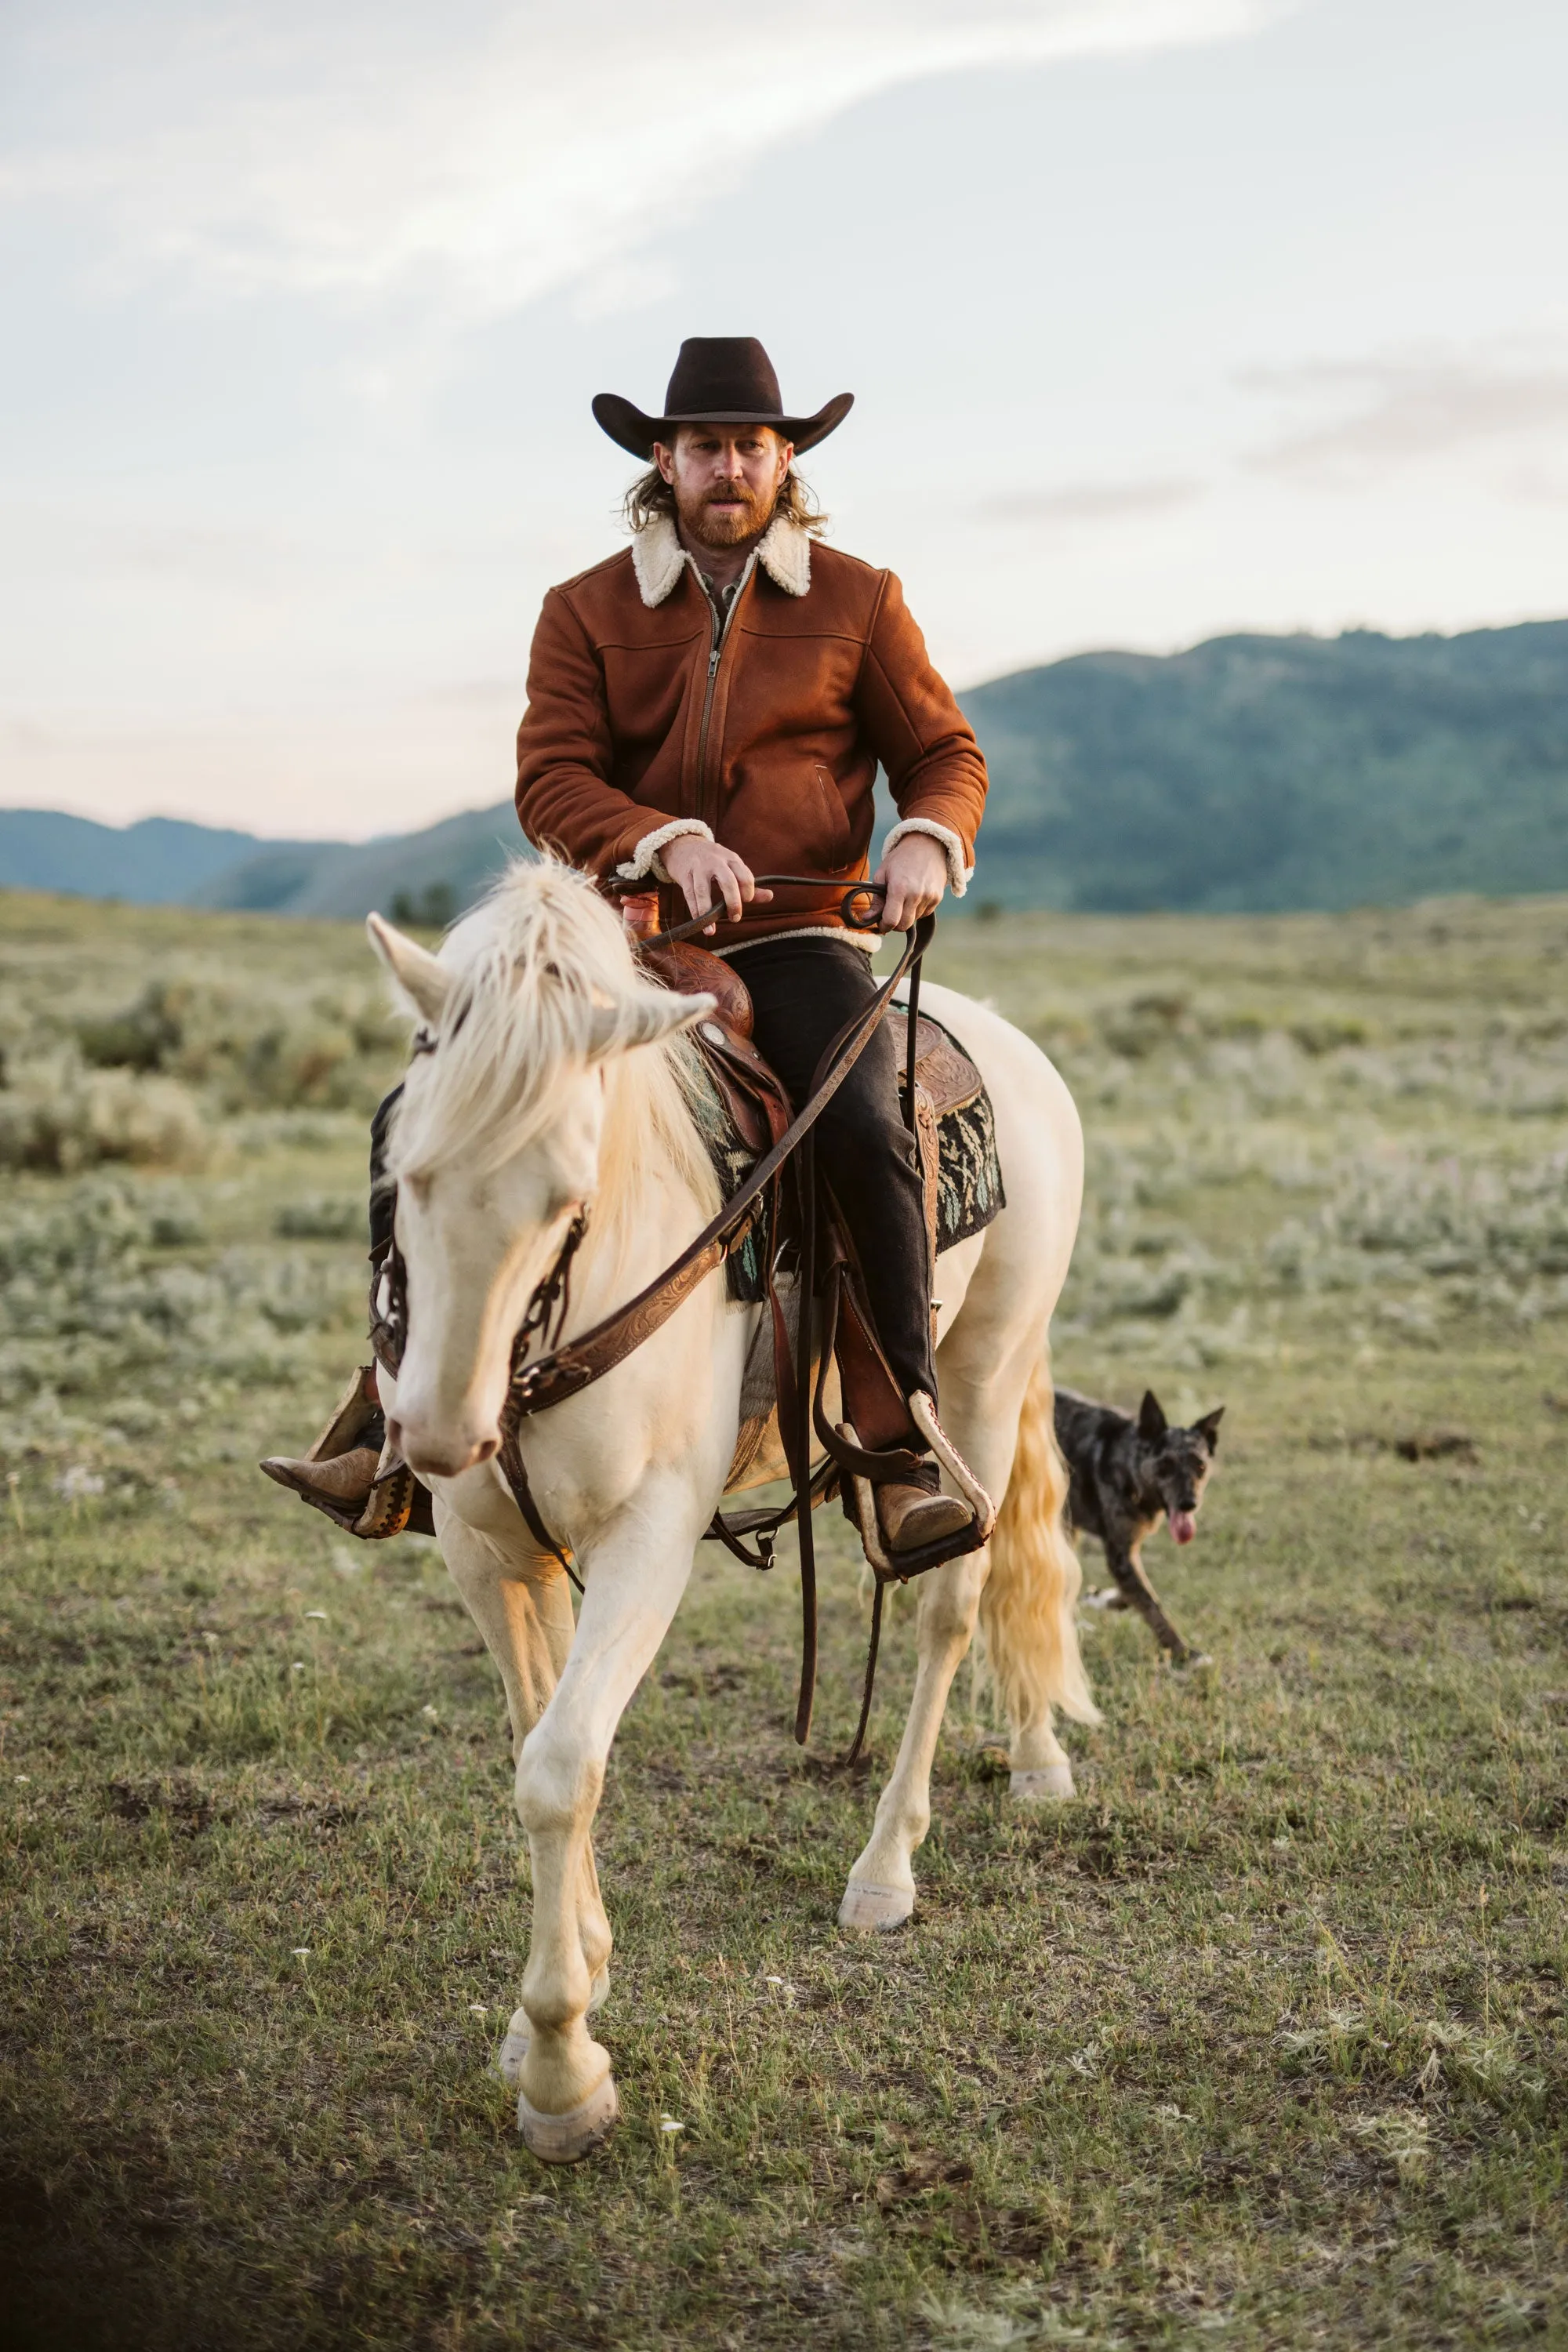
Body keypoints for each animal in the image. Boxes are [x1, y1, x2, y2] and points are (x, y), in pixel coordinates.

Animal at [366, 856, 1091, 2154]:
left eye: (565, 1191)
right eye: (405, 1166)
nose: (440, 1434)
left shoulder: (649, 1538)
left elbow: (562, 1768)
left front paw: (564, 2071)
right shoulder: (488, 1549)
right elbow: (540, 1742)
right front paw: (569, 1990)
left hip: (985, 1374)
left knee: (954, 1606)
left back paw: (886, 1867)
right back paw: (1034, 1756)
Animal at [1053, 1383, 1222, 1665]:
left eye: (1200, 1466)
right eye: (1166, 1465)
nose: (1188, 1504)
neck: (1128, 1464)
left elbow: (1138, 1593)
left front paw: (1105, 1599)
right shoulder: (1120, 1555)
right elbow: (1151, 1603)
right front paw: (1182, 1651)